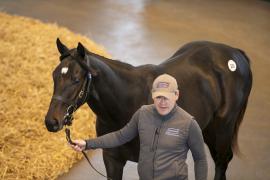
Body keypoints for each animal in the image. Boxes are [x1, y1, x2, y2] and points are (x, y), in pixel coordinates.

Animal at [44, 38, 253, 179]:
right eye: (54, 75)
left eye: (76, 79)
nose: (51, 122)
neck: (126, 103)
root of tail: (235, 54)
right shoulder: (112, 160)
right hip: (207, 129)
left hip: (223, 128)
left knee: (221, 161)